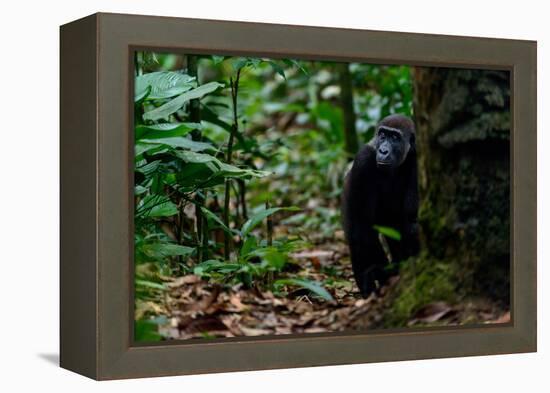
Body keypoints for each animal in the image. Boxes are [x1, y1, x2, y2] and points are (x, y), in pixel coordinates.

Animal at [342, 113, 420, 298]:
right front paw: (385, 274)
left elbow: (411, 218)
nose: (383, 150)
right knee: (356, 239)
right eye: (382, 135)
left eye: (395, 138)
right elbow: (363, 232)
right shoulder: (363, 160)